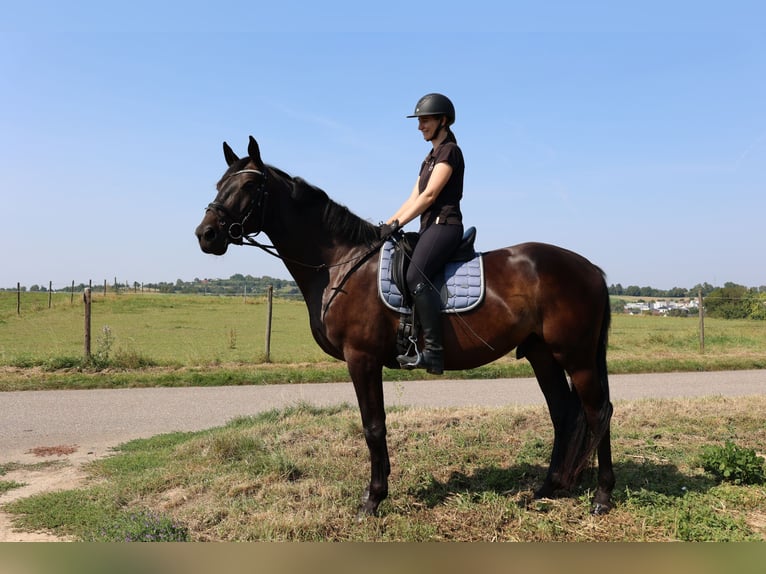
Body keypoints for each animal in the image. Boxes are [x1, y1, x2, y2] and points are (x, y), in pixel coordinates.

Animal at [198, 137, 616, 520]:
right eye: (219, 184)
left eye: (249, 186)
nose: (206, 234)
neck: (341, 263)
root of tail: (593, 270)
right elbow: (375, 425)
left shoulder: (362, 358)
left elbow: (373, 426)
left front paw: (372, 499)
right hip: (543, 354)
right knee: (564, 414)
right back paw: (549, 487)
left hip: (576, 356)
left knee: (598, 412)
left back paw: (601, 497)